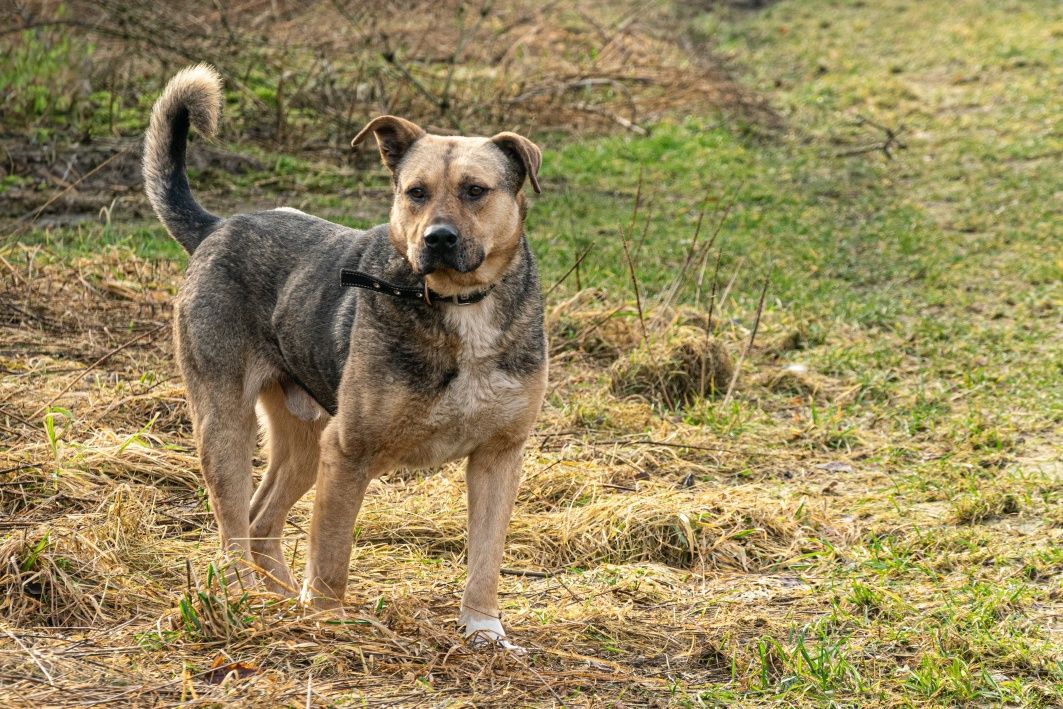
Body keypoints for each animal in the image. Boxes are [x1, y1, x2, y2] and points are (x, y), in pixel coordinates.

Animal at [143, 65, 548, 650]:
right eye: (415, 193)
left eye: (475, 191)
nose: (438, 239)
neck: (459, 305)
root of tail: (218, 227)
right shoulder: (349, 451)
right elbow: (332, 555)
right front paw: (331, 623)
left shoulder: (499, 456)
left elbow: (486, 559)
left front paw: (483, 630)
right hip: (227, 425)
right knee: (233, 526)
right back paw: (246, 598)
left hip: (304, 439)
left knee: (260, 520)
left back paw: (282, 602)